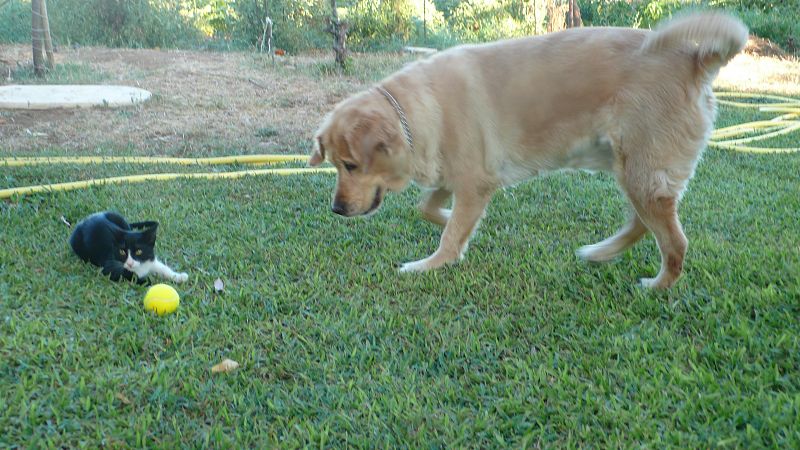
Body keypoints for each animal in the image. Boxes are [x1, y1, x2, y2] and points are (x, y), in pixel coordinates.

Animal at [308, 14, 752, 290]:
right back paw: (600, 253)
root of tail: (695, 59)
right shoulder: (457, 177)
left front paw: (430, 264)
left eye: (350, 165)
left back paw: (658, 286)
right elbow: (430, 209)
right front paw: (451, 219)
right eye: (336, 165)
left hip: (643, 172)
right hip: (632, 171)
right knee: (642, 225)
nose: (336, 209)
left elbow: (449, 237)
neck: (415, 111)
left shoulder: (475, 182)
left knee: (675, 242)